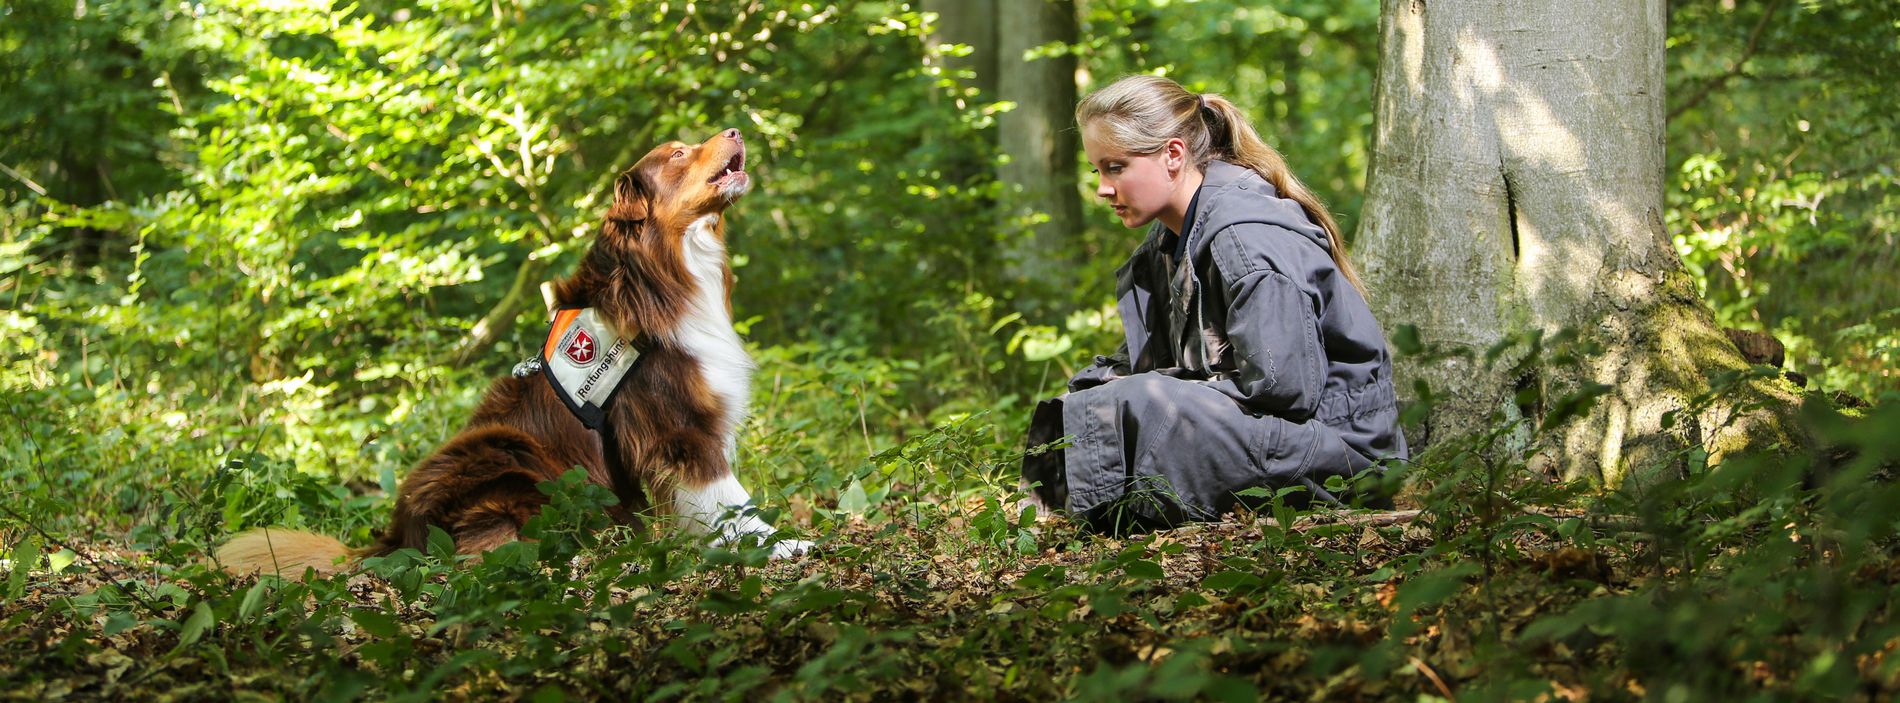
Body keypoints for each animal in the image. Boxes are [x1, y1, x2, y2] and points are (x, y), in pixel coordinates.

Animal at [218, 130, 805, 577]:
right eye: (679, 153)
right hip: (507, 454)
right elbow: (729, 497)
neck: (667, 266)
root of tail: (396, 537)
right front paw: (782, 544)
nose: (736, 131)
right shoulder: (677, 426)